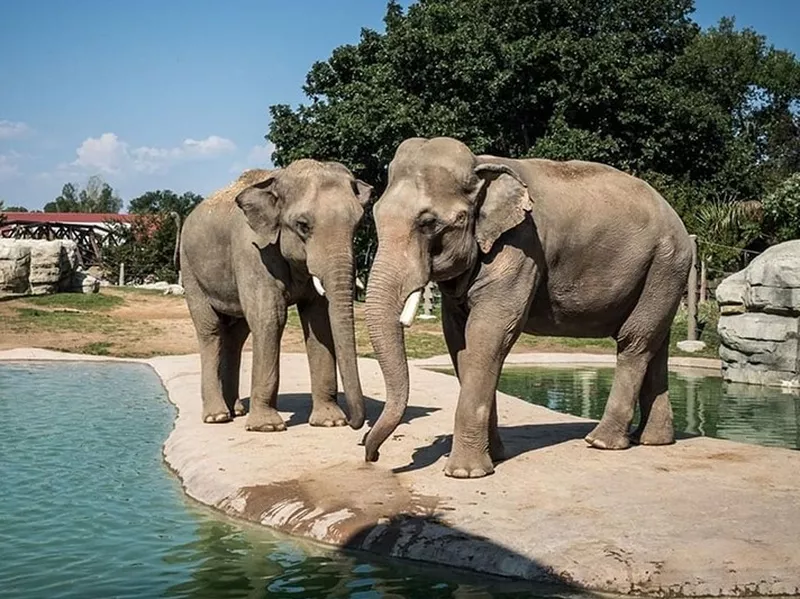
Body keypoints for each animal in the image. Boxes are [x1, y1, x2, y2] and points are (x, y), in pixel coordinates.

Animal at [178, 159, 372, 434]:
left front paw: (330, 422)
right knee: (211, 330)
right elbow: (270, 318)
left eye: (357, 225)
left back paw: (236, 411)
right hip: (190, 268)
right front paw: (267, 427)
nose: (355, 424)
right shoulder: (253, 252)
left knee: (236, 335)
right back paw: (218, 416)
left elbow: (318, 320)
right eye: (303, 225)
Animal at [362, 136, 692, 478]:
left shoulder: (521, 245)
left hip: (665, 264)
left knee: (634, 341)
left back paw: (601, 442)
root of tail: (677, 220)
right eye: (376, 214)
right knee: (656, 343)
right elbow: (459, 340)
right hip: (663, 271)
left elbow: (489, 333)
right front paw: (495, 456)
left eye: (428, 223)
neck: (480, 165)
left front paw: (465, 473)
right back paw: (654, 440)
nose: (372, 455)